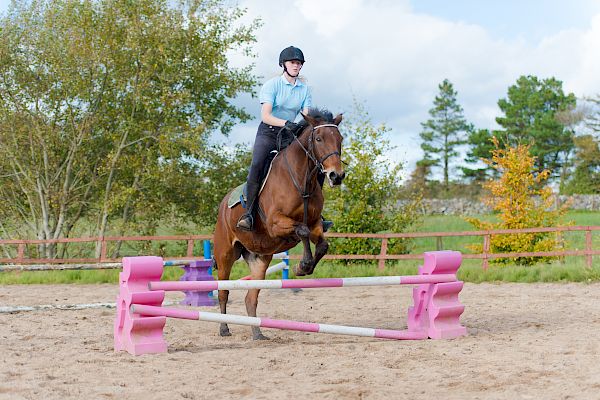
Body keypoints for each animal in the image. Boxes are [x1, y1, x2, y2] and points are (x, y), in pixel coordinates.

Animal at [212, 108, 344, 340]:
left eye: (340, 139)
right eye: (318, 139)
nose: (336, 175)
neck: (302, 180)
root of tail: (223, 205)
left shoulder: (316, 223)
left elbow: (321, 244)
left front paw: (304, 267)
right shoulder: (276, 223)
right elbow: (302, 230)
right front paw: (303, 265)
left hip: (260, 259)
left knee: (250, 297)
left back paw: (257, 333)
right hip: (225, 254)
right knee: (223, 291)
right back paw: (224, 328)